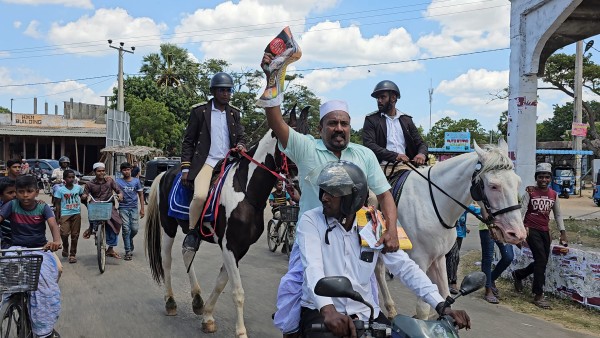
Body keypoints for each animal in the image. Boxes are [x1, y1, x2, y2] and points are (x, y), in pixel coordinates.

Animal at [143, 107, 308, 336]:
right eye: (291, 140)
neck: (245, 191)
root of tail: (165, 173)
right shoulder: (229, 245)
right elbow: (237, 291)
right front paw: (240, 331)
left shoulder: (240, 247)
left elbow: (221, 282)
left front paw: (207, 316)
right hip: (168, 226)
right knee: (167, 259)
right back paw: (170, 302)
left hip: (191, 232)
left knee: (187, 253)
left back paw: (196, 299)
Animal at [378, 140, 528, 320]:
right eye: (493, 186)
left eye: (518, 182)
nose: (517, 234)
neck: (432, 202)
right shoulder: (420, 258)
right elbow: (423, 308)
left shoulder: (439, 257)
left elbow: (445, 296)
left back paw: (390, 309)